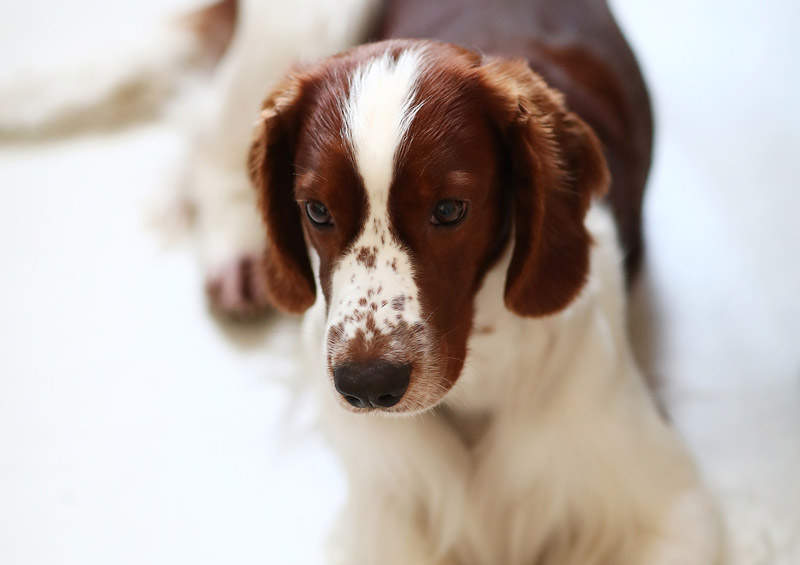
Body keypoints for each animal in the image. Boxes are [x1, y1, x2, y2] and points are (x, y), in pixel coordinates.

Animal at [238, 1, 724, 564]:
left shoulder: (668, 504)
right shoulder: (383, 518)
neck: (479, 380)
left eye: (449, 210)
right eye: (316, 210)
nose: (367, 386)